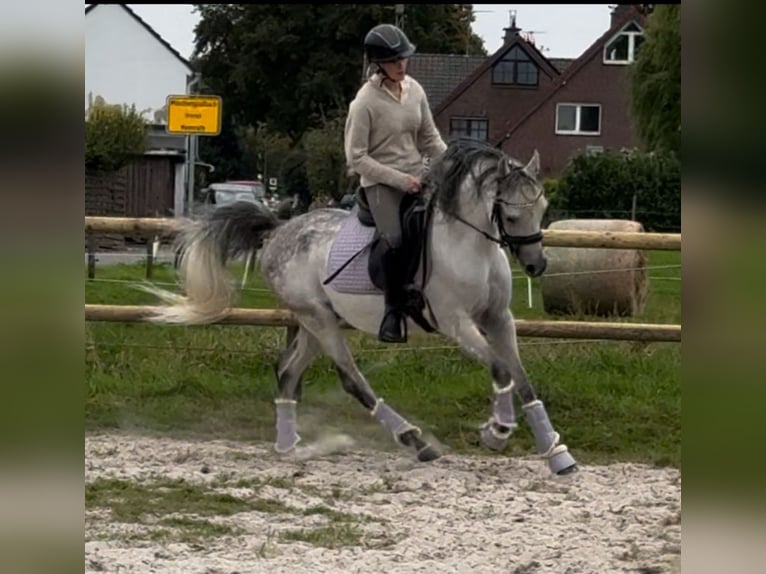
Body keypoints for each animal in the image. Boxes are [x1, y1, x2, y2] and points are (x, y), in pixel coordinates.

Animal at [140, 138, 578, 476]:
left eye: (543, 208)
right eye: (512, 213)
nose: (537, 266)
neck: (470, 244)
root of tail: (279, 230)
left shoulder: (499, 319)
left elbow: (522, 377)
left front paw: (556, 452)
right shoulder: (456, 323)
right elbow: (501, 369)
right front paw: (497, 431)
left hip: (314, 324)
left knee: (287, 372)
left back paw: (289, 445)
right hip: (319, 320)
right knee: (350, 378)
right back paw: (413, 439)